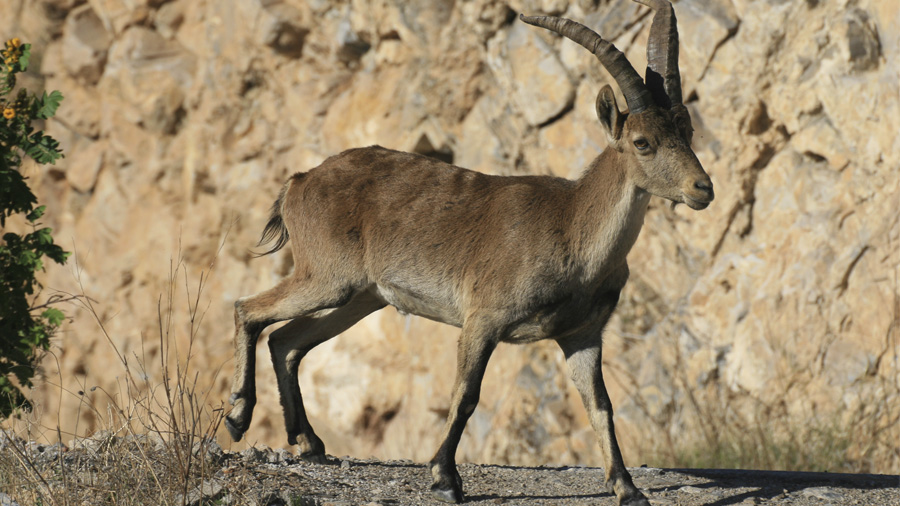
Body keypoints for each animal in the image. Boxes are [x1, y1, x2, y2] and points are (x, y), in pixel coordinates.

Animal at [225, 1, 712, 504]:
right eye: (642, 142)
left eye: (688, 130)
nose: (703, 188)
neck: (574, 234)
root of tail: (299, 182)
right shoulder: (484, 317)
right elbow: (466, 395)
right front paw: (444, 477)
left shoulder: (583, 334)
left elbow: (600, 405)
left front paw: (627, 487)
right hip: (327, 276)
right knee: (249, 310)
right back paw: (239, 416)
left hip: (361, 296)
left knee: (286, 342)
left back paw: (308, 441)